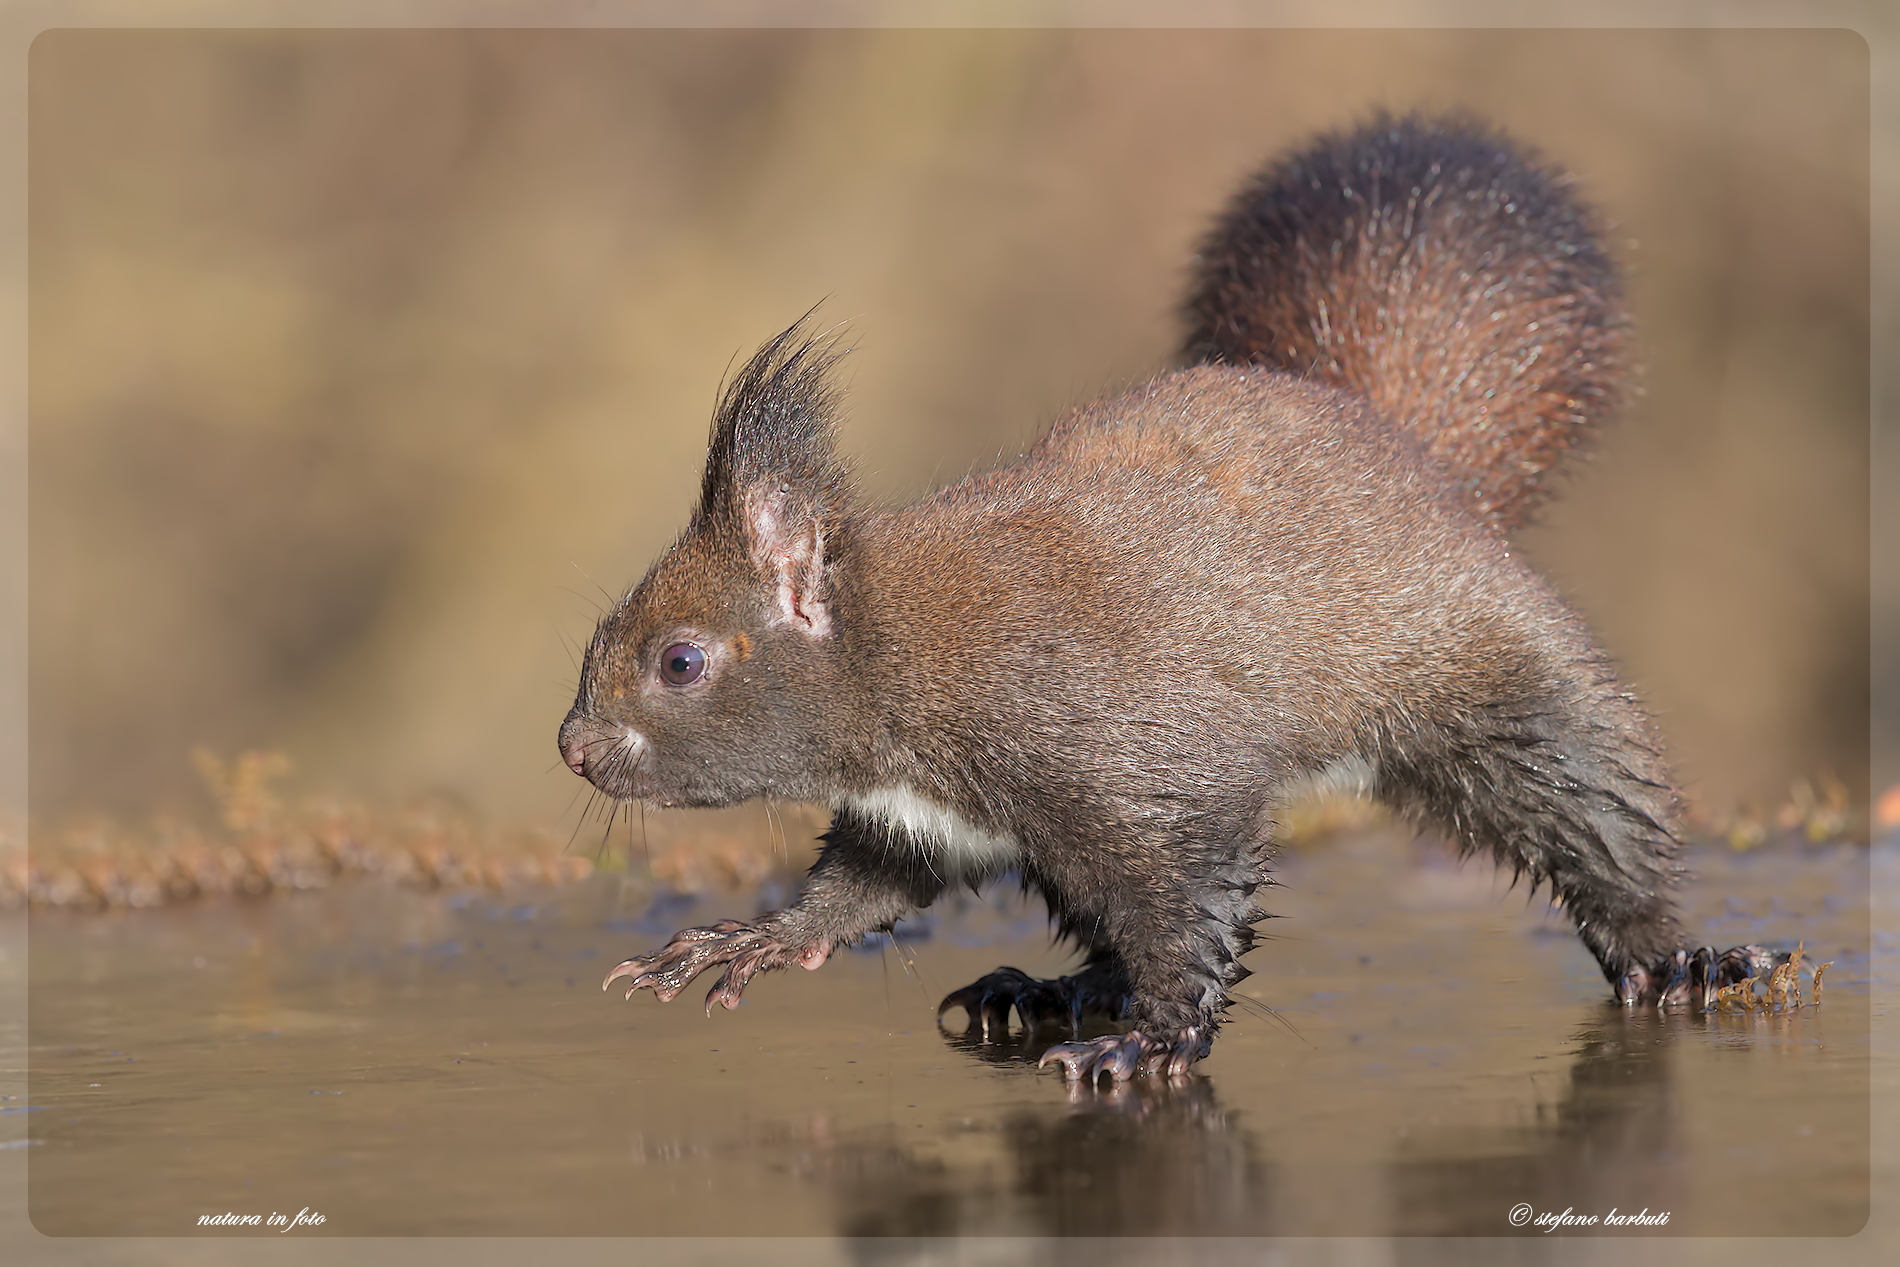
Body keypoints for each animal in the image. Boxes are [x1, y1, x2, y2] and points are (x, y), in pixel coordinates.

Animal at [559, 112, 1772, 1084]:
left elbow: (1193, 918)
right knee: (1098, 932)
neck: (904, 658)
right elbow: (858, 893)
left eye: (679, 659)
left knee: (1598, 823)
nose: (572, 747)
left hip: (1501, 688)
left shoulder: (1145, 780)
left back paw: (1680, 958)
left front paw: (1151, 1042)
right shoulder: (928, 819)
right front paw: (752, 940)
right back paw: (1052, 988)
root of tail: (1403, 447)